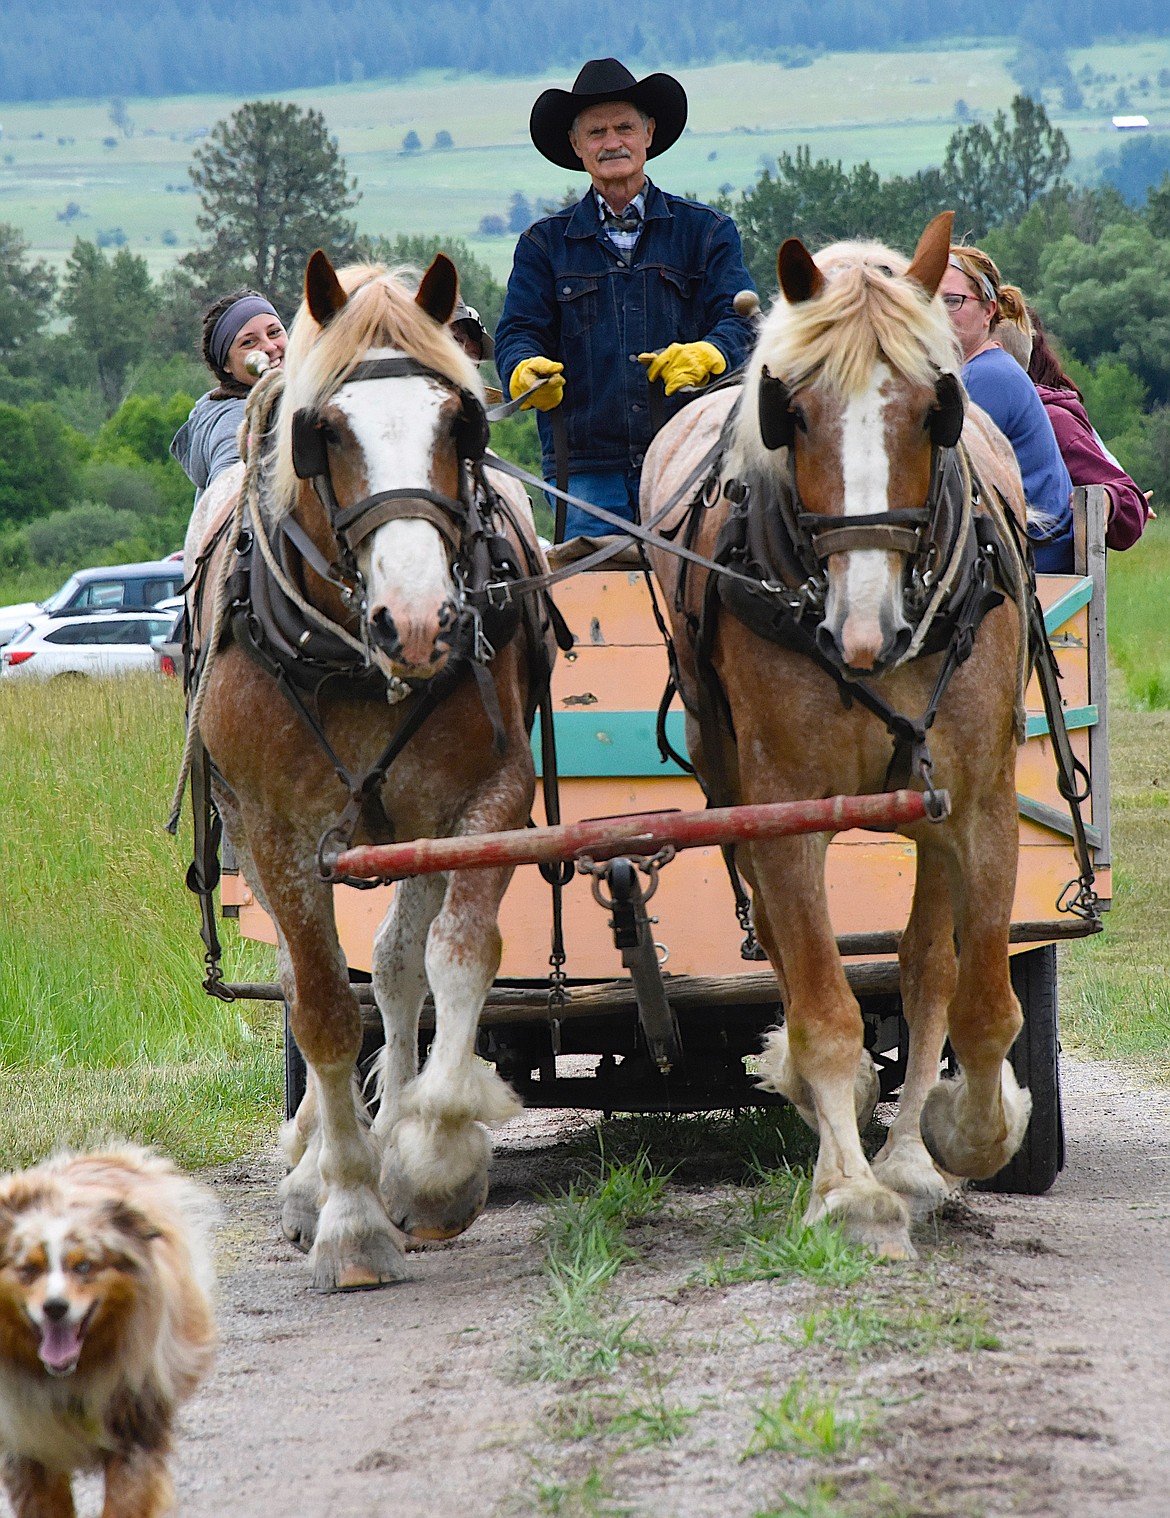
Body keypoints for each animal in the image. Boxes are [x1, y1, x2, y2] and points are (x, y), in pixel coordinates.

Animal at [186, 251, 558, 1293]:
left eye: (458, 423)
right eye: (325, 432)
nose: (421, 620)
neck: (351, 654)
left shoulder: (487, 798)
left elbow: (454, 957)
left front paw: (432, 1160)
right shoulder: (278, 833)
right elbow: (318, 1008)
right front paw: (348, 1217)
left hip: (405, 829)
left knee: (393, 971)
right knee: (318, 985)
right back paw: (314, 1172)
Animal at [646, 214, 1037, 1256]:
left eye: (936, 407)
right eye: (795, 411)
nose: (865, 631)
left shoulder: (979, 805)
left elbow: (981, 1001)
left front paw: (965, 1135)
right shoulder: (782, 810)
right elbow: (821, 1004)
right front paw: (849, 1192)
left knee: (924, 965)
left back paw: (908, 1158)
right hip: (729, 783)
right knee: (792, 961)